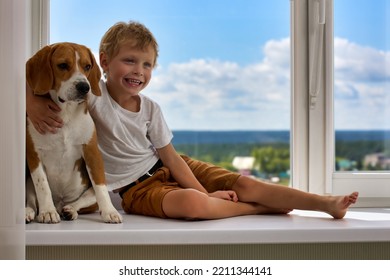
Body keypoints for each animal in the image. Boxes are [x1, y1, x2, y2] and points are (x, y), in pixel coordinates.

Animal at [25, 42, 122, 224]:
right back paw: (30, 211)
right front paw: (47, 211)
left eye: (87, 66)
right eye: (63, 65)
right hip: (28, 181)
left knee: (82, 201)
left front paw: (109, 211)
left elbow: (100, 188)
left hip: (87, 195)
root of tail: (60, 202)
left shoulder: (92, 152)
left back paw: (70, 210)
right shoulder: (34, 155)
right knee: (32, 200)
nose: (84, 87)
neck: (66, 113)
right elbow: (43, 187)